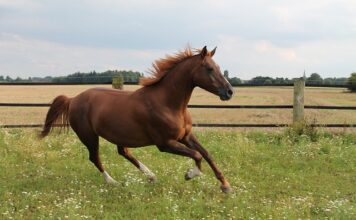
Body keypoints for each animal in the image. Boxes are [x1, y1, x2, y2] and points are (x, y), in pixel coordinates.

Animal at [40, 46, 234, 192]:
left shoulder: (186, 136)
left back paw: (151, 176)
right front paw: (190, 175)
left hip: (118, 134)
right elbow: (197, 155)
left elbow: (206, 154)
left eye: (218, 67)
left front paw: (226, 186)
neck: (168, 103)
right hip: (88, 136)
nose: (229, 92)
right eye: (209, 69)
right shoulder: (165, 143)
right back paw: (113, 182)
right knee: (95, 158)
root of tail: (73, 99)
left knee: (123, 152)